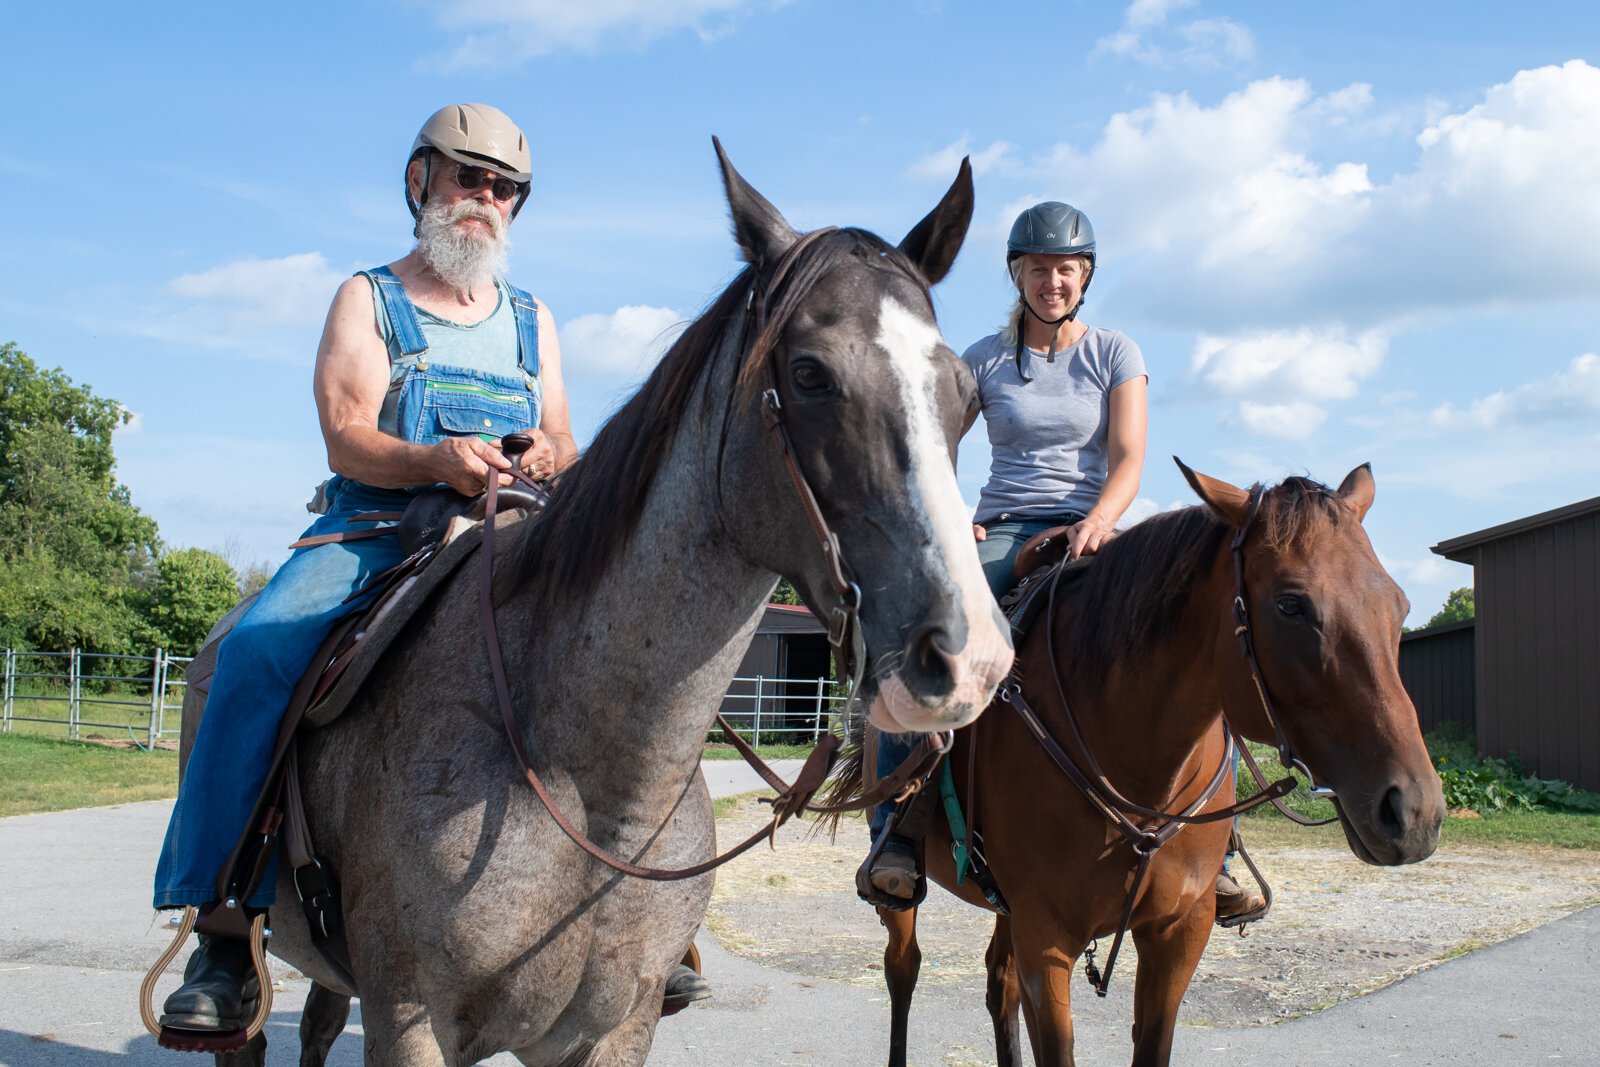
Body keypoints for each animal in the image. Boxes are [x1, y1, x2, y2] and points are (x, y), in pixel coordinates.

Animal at [172, 143, 1011, 1067]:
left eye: (966, 394)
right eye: (809, 373)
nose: (967, 654)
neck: (587, 774)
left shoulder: (613, 1028)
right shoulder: (410, 1019)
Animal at [870, 463, 1446, 1062]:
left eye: (1400, 605)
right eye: (1291, 604)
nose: (1414, 812)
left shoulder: (1178, 934)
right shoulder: (1045, 939)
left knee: (997, 982)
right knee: (903, 968)